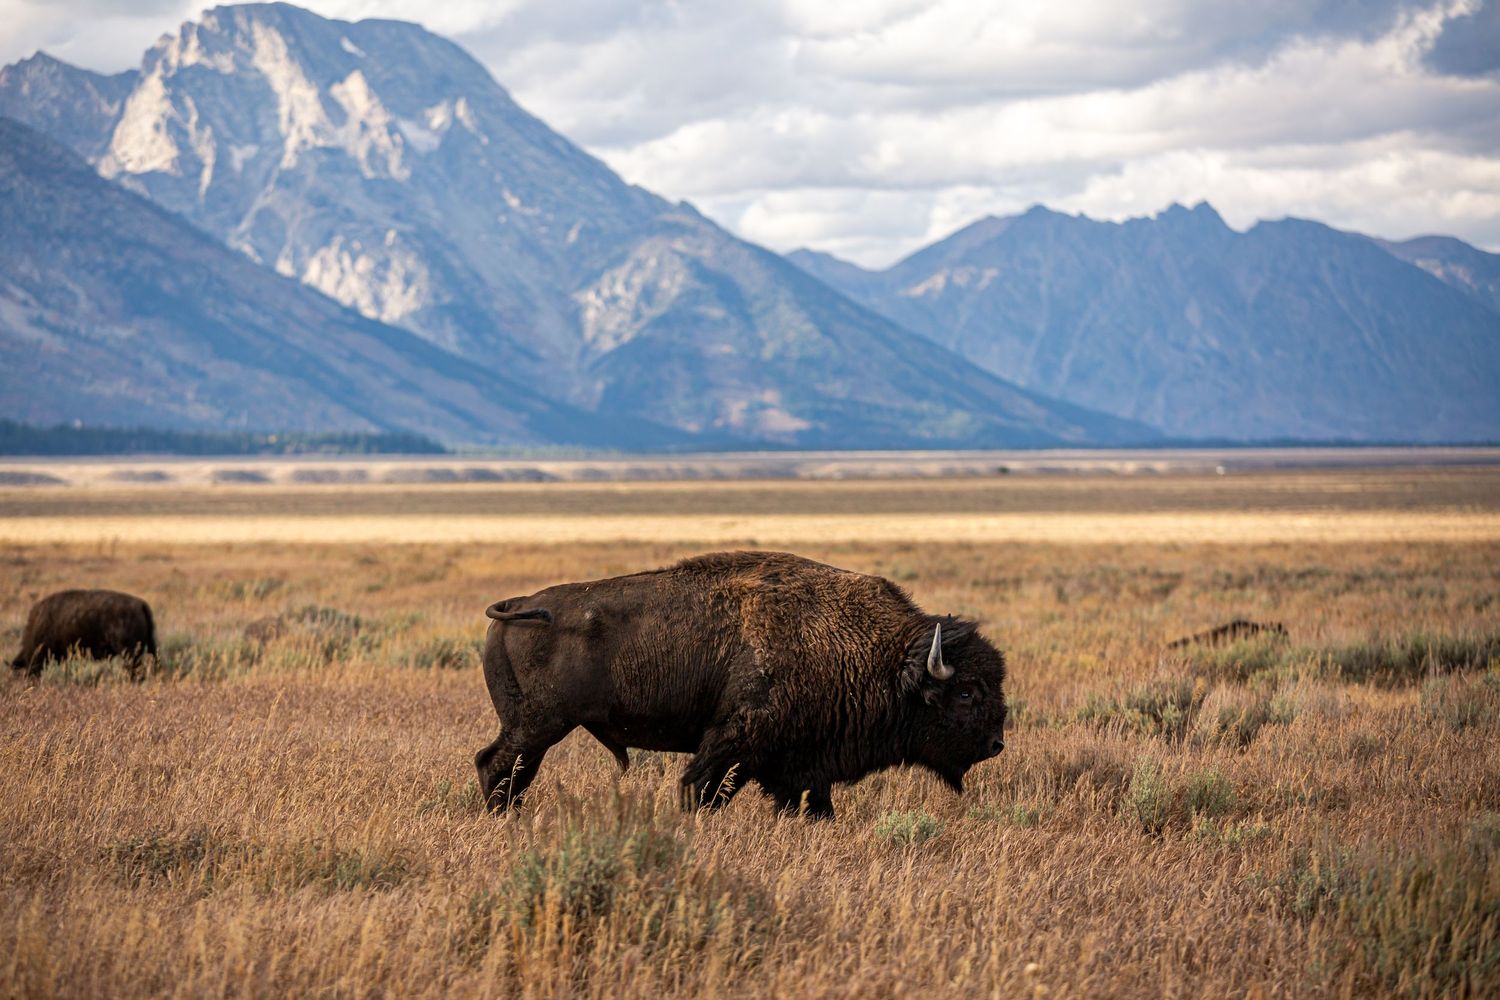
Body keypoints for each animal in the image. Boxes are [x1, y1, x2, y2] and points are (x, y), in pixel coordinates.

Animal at [474, 551, 1008, 820]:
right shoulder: (736, 742)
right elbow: (701, 789)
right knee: (497, 764)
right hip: (538, 725)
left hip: (535, 728)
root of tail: (519, 603)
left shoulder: (799, 763)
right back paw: (504, 818)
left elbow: (811, 803)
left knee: (506, 768)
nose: (996, 744)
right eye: (966, 692)